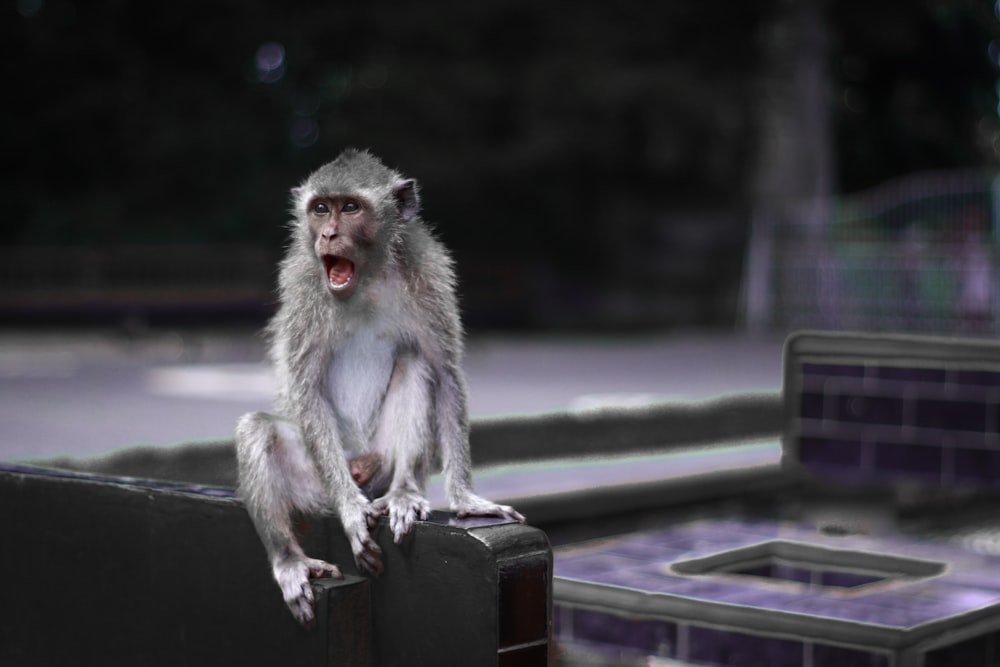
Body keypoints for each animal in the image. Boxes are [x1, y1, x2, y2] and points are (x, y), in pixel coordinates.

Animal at [235, 149, 528, 628]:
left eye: (350, 207)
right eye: (321, 208)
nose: (329, 233)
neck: (366, 281)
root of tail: (360, 467)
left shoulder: (429, 274)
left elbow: (445, 371)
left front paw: (465, 498)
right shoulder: (302, 285)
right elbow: (306, 387)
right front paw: (350, 512)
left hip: (383, 460)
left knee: (415, 362)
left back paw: (404, 493)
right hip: (316, 484)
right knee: (257, 429)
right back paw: (291, 559)